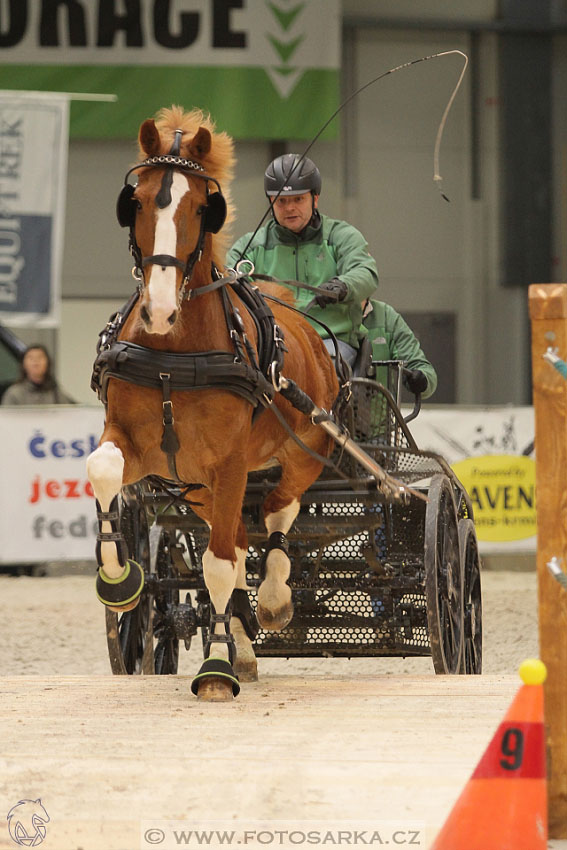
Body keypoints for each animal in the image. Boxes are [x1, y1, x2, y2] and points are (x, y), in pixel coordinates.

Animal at [86, 106, 340, 700]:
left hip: (300, 452)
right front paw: (118, 577)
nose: (158, 309)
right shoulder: (140, 447)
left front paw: (217, 669)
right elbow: (102, 468)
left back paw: (273, 601)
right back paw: (245, 638)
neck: (172, 354)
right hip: (199, 486)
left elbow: (220, 566)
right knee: (243, 537)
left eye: (203, 206)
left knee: (277, 514)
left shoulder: (230, 461)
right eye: (136, 201)